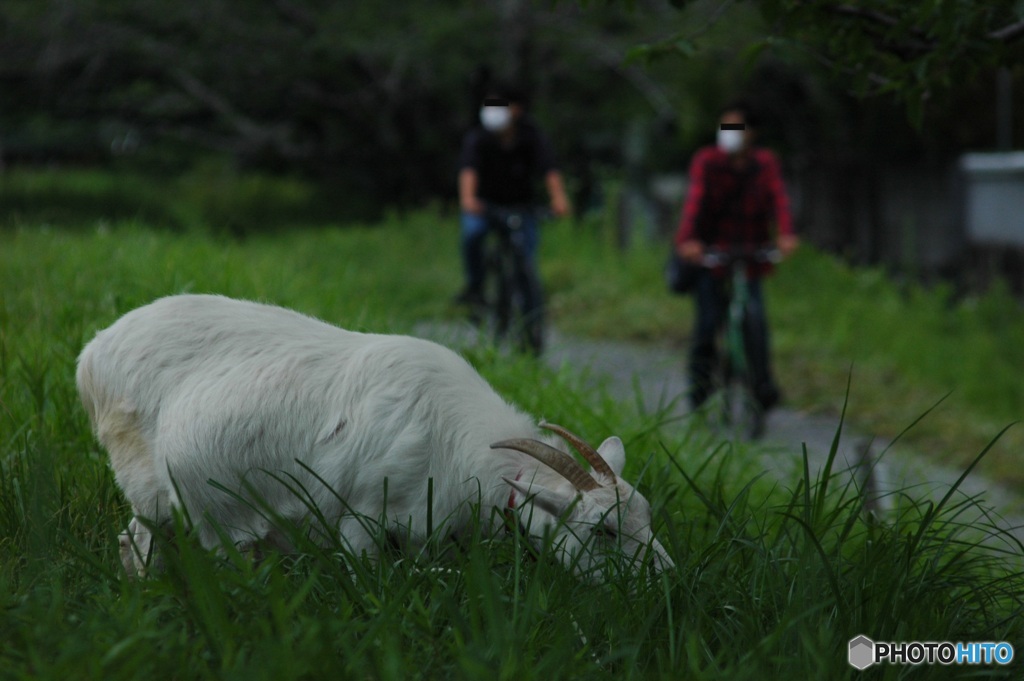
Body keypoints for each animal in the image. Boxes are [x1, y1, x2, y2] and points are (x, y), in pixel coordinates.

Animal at [77, 294, 671, 577]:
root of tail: (92, 353)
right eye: (604, 532)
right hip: (150, 487)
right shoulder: (360, 517)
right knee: (140, 545)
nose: (663, 577)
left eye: (646, 517)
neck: (459, 447)